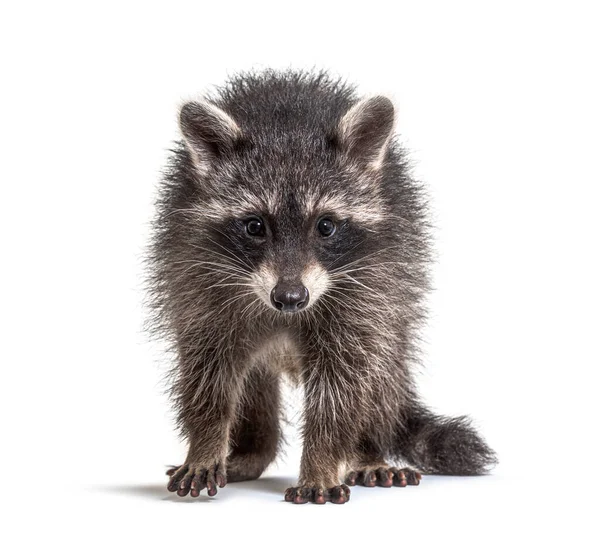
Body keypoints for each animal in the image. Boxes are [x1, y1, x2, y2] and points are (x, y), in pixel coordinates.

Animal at [149, 69, 496, 502]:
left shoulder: (370, 285)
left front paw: (322, 463)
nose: (290, 298)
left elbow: (343, 384)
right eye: (254, 226)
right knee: (254, 378)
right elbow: (207, 370)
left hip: (395, 305)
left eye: (326, 226)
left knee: (381, 374)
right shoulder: (195, 274)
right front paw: (206, 442)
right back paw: (252, 451)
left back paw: (367, 451)